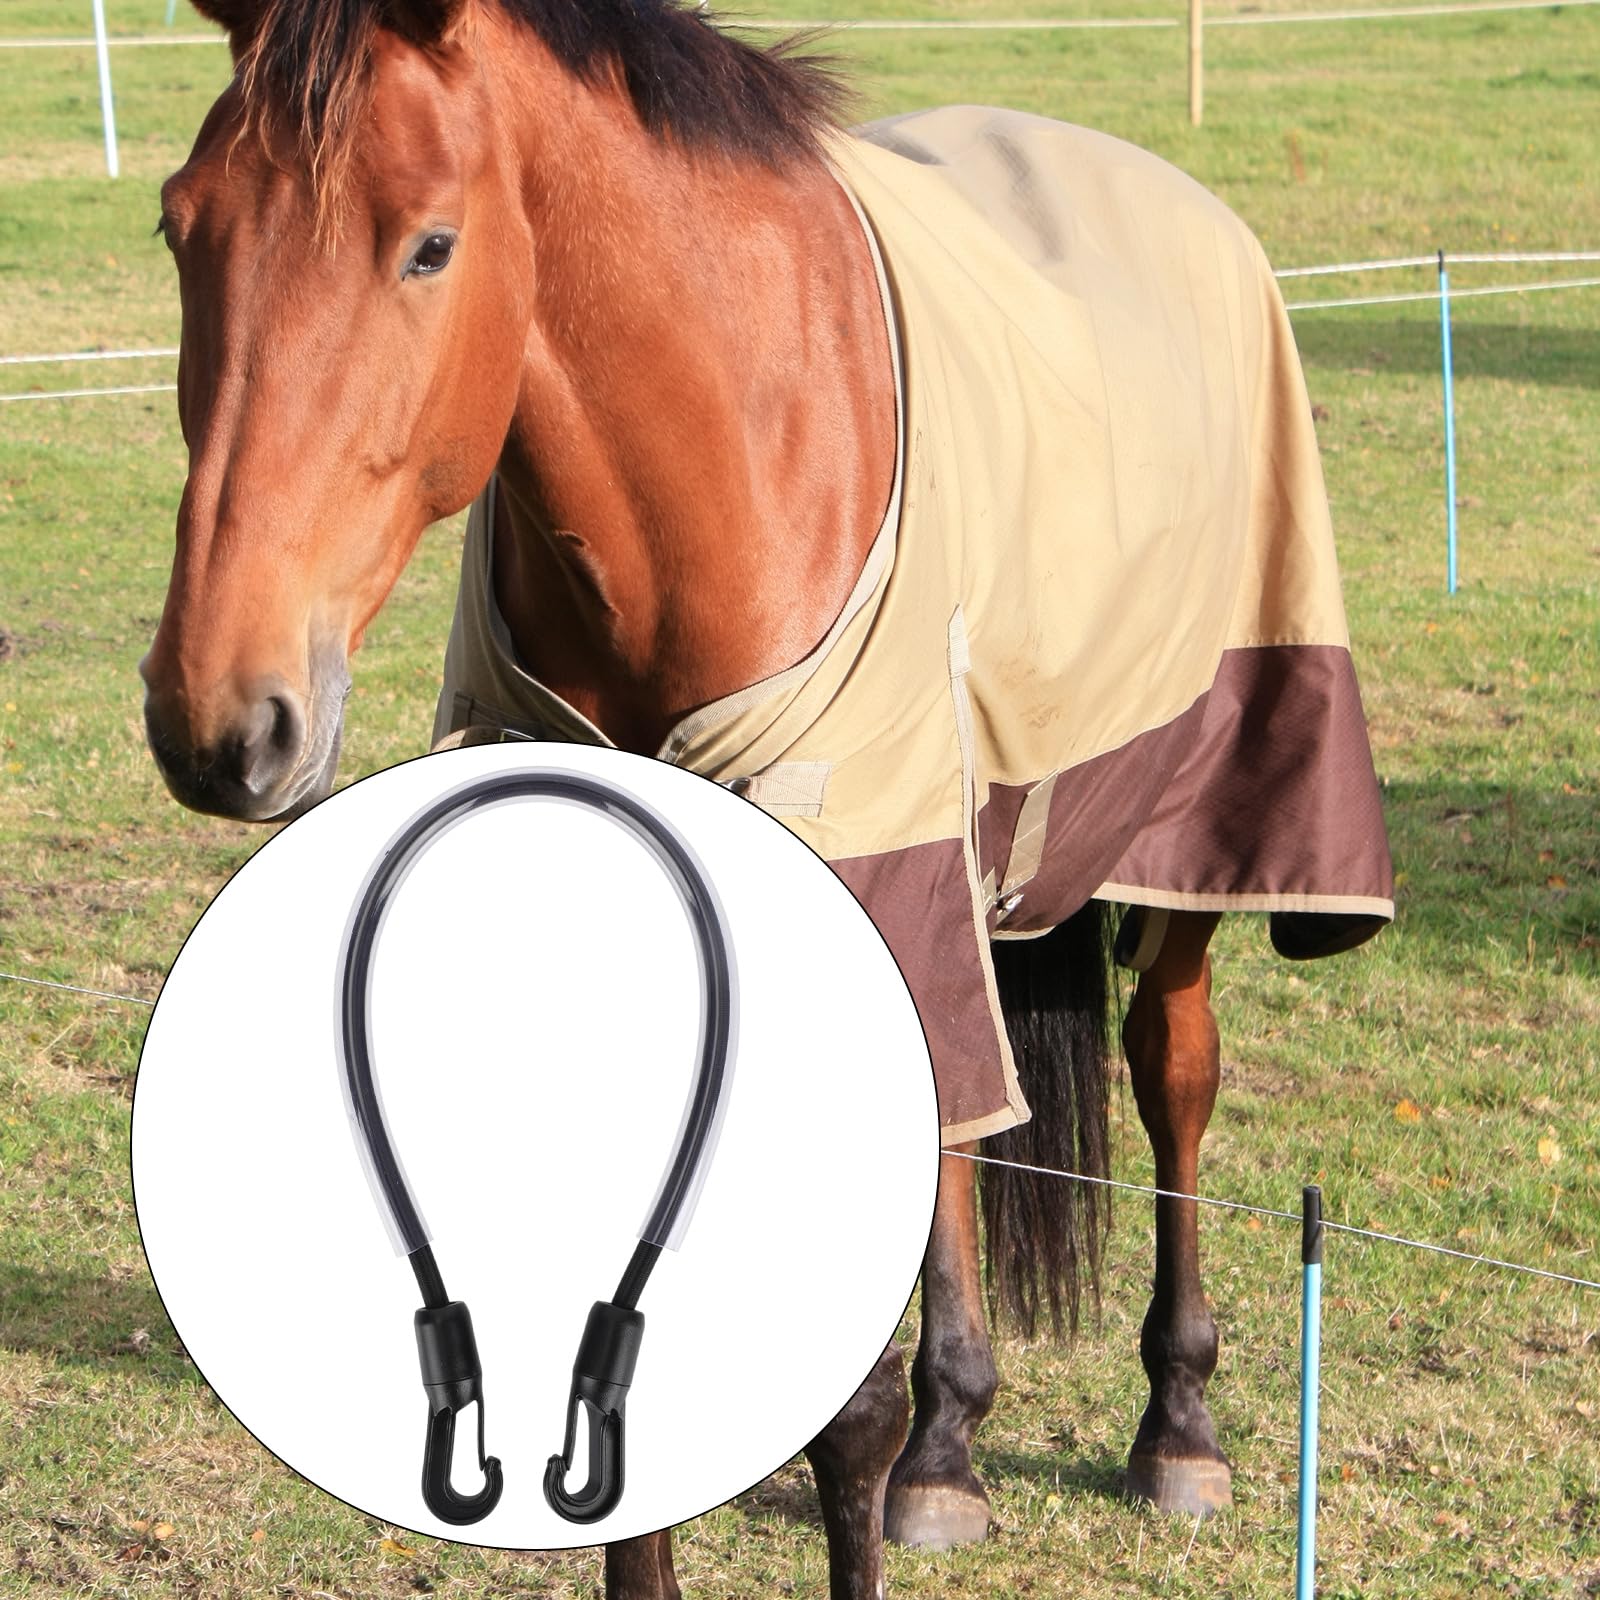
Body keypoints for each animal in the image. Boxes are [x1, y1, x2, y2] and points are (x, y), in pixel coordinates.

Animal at [140, 2, 1395, 1595]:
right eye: (182, 227)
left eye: (427, 246)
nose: (217, 717)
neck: (720, 480)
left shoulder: (877, 866)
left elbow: (839, 1412)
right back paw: (953, 1441)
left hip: (1192, 819)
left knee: (1173, 1068)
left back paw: (1177, 1422)